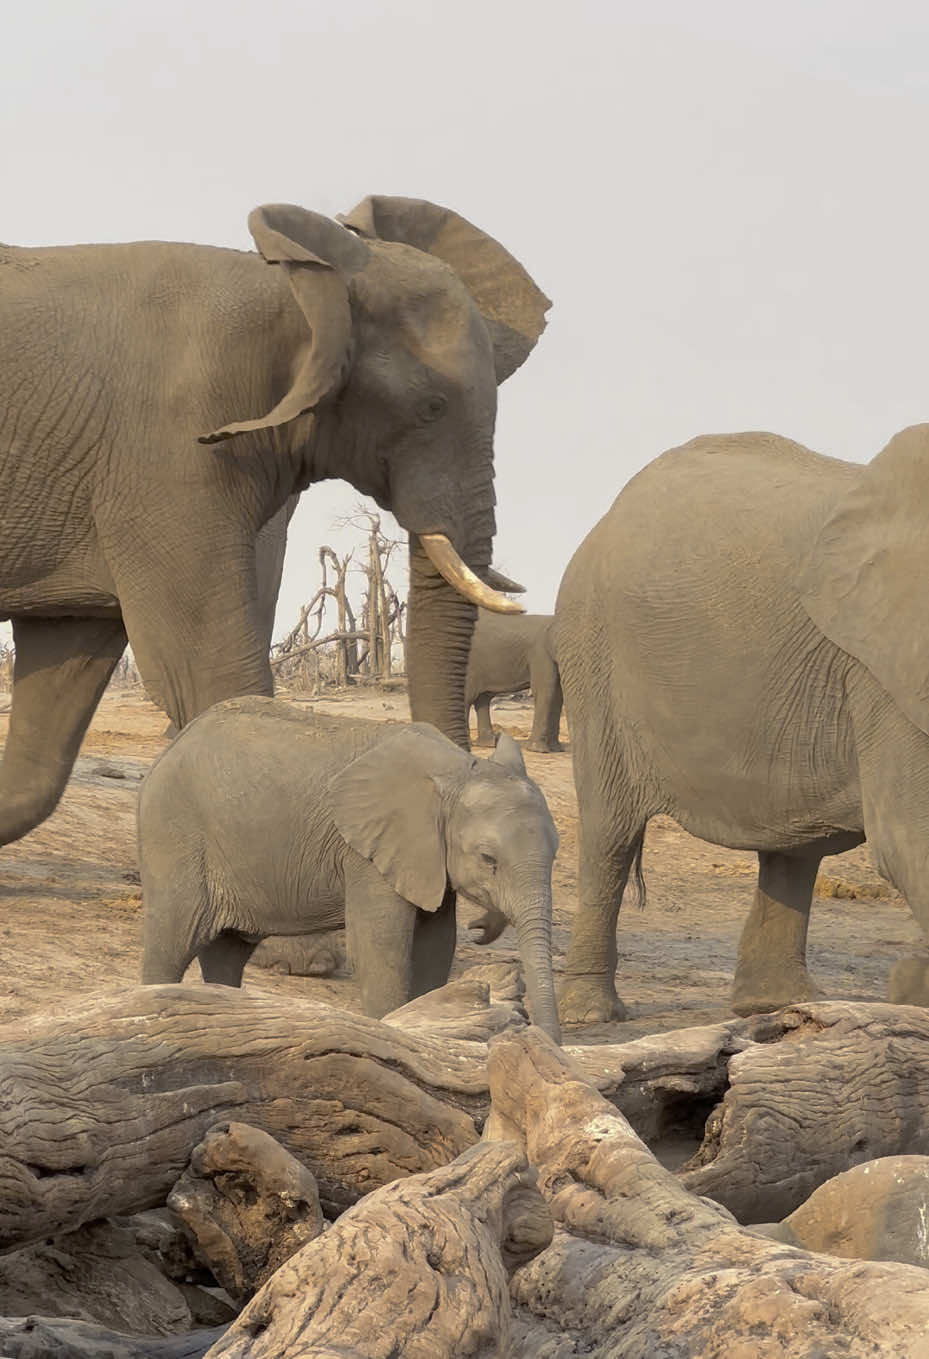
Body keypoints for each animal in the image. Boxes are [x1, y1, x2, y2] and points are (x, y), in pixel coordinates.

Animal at [138, 697, 561, 1041]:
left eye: (555, 853)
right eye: (488, 859)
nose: (481, 927)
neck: (458, 769)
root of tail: (168, 751)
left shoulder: (426, 858)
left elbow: (436, 944)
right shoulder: (367, 854)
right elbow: (380, 947)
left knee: (226, 952)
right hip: (175, 836)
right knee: (171, 944)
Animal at [466, 611, 564, 753]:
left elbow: (558, 695)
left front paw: (556, 749)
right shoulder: (540, 653)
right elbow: (546, 690)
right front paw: (538, 750)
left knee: (483, 697)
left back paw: (488, 744)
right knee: (468, 696)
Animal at [555, 424, 929, 1025]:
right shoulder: (881, 667)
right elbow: (908, 835)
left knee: (798, 844)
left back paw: (778, 1004)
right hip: (591, 651)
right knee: (609, 832)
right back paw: (590, 1015)